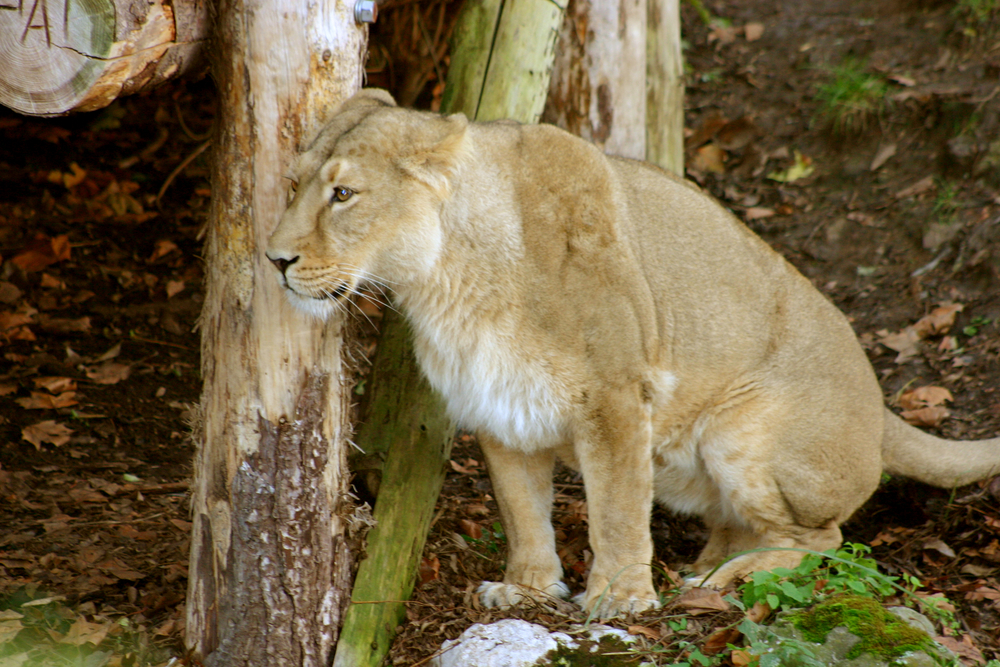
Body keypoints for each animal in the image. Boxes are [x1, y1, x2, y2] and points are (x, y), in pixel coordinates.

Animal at [266, 89, 1000, 618]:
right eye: (294, 184)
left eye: (343, 194)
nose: (273, 259)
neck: (449, 278)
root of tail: (881, 410)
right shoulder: (496, 402)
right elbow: (521, 509)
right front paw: (528, 588)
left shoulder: (615, 394)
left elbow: (616, 507)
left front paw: (619, 596)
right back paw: (705, 567)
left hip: (739, 426)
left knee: (823, 541)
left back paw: (726, 579)